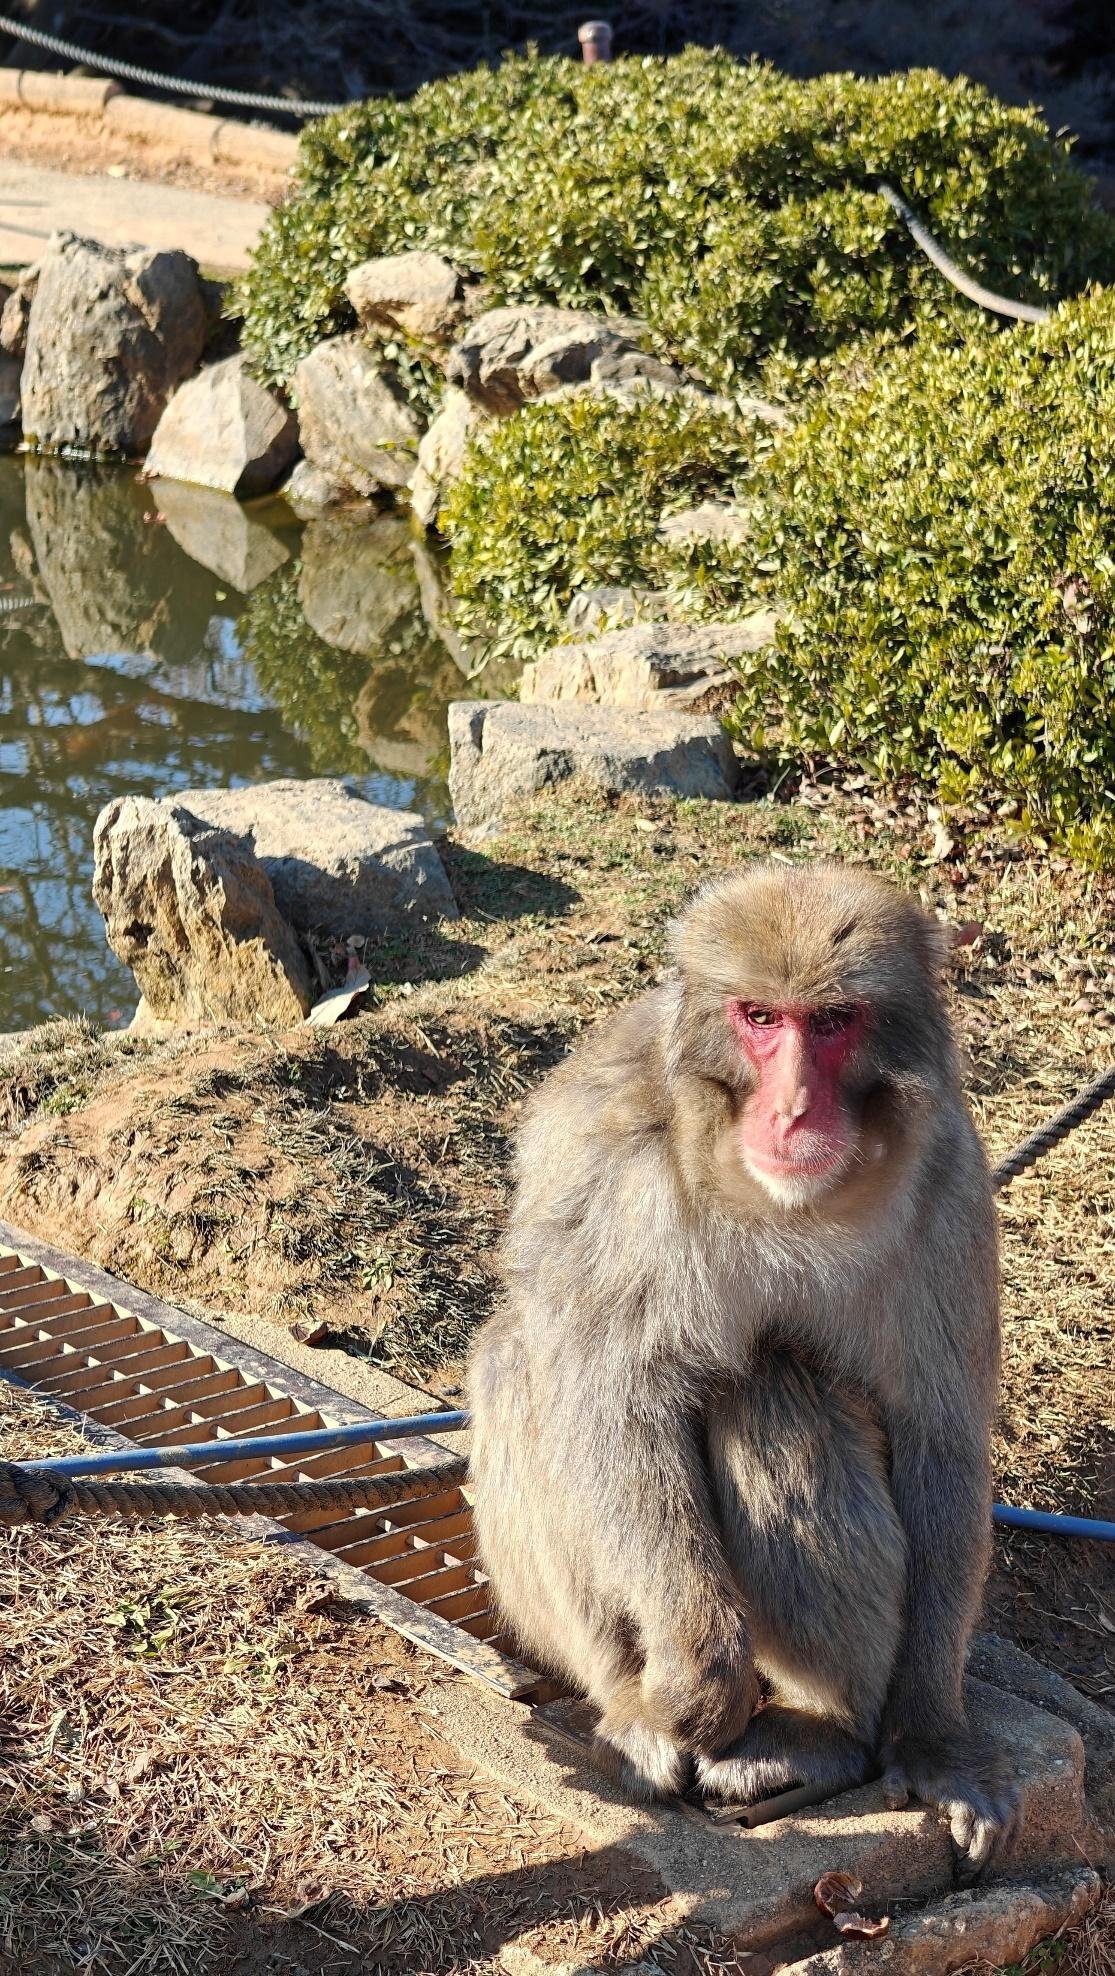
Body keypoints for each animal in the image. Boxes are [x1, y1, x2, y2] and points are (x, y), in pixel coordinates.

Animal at [467, 858, 1020, 1877]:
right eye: (759, 1017)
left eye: (832, 1021)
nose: (793, 1108)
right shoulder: (615, 1173)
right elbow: (615, 1407)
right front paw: (700, 1685)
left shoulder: (951, 1185)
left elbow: (940, 1439)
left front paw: (934, 1739)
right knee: (531, 1366)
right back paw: (640, 1709)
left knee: (773, 1386)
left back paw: (822, 1731)